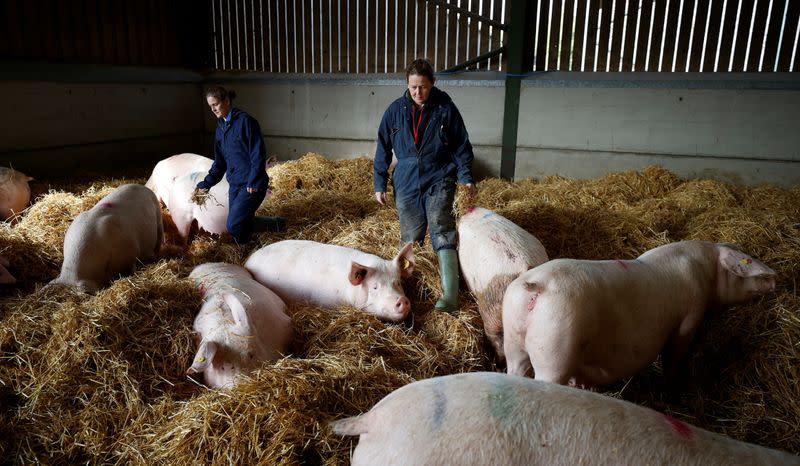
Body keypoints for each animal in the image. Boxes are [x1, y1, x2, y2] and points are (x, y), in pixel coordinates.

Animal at [506, 240, 776, 386]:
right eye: (743, 269)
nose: (775, 281)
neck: (707, 272)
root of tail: (537, 286)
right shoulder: (690, 316)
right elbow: (676, 351)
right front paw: (673, 382)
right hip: (555, 347)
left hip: (514, 342)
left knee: (515, 369)